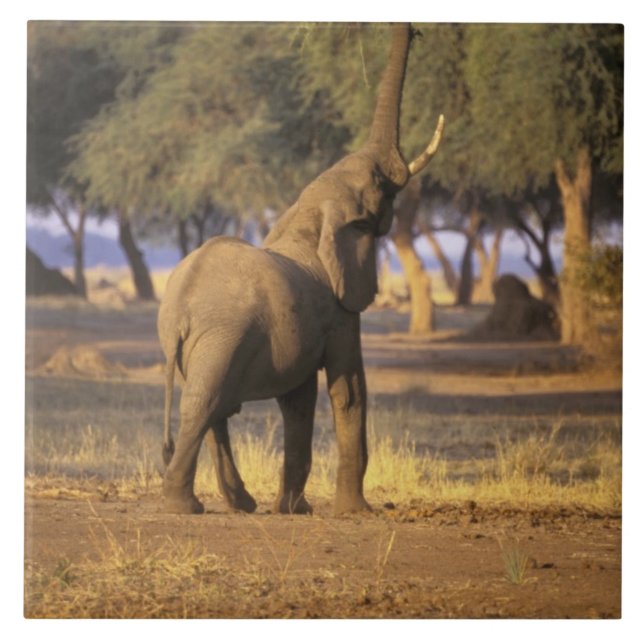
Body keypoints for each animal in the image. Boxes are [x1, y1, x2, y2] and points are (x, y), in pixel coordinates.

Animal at [157, 23, 444, 515]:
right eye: (379, 185)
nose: (412, 28)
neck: (309, 214)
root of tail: (179, 311)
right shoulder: (340, 312)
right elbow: (348, 390)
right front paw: (355, 512)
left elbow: (298, 400)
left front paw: (295, 510)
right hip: (223, 335)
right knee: (204, 403)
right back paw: (186, 506)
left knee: (212, 408)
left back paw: (237, 504)